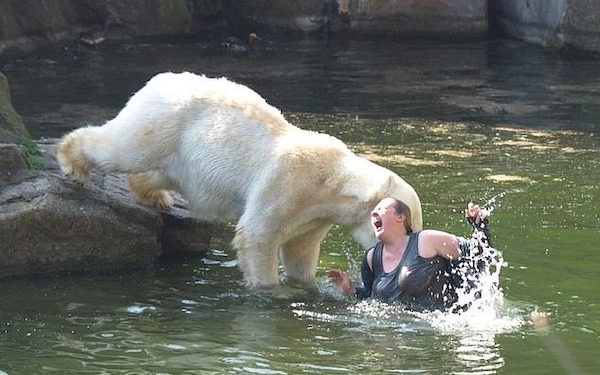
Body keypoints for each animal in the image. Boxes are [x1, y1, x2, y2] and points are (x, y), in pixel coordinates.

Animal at [56, 72, 422, 290]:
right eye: (410, 224)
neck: (331, 180)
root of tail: (158, 80)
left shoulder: (313, 218)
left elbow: (300, 249)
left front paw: (305, 286)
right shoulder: (288, 183)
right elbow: (258, 233)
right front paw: (269, 290)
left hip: (182, 153)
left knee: (159, 170)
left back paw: (154, 195)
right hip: (165, 121)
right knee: (124, 147)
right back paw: (72, 163)